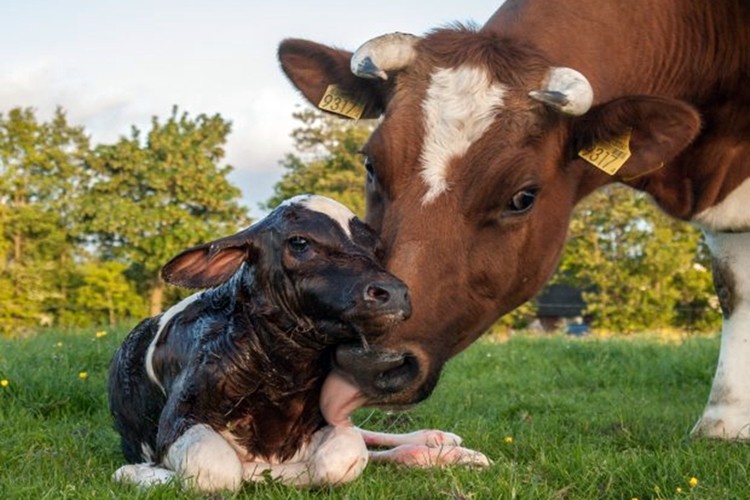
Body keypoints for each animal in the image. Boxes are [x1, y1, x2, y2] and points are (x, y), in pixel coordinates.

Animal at [108, 195, 490, 492]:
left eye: (375, 248)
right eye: (300, 243)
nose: (394, 292)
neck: (282, 374)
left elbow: (344, 455)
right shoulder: (179, 418)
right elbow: (218, 470)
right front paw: (138, 473)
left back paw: (439, 443)